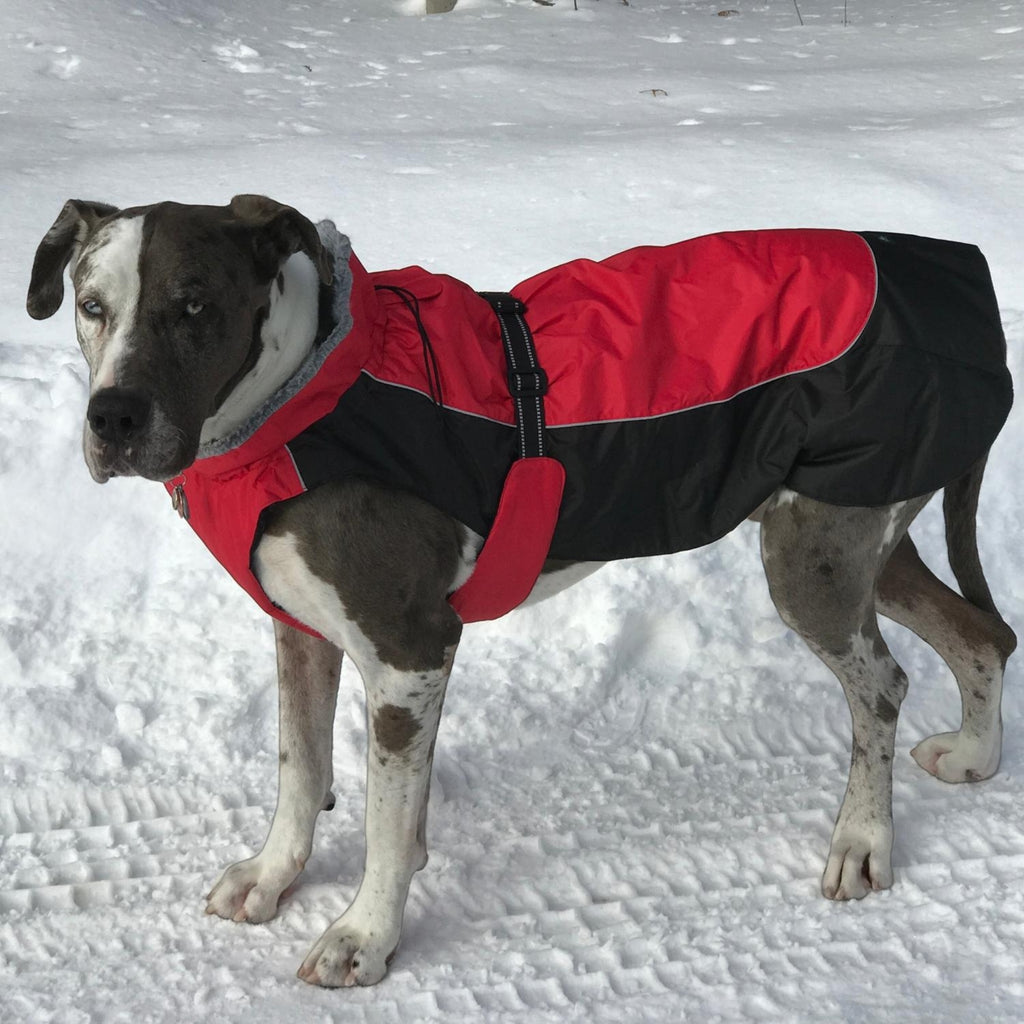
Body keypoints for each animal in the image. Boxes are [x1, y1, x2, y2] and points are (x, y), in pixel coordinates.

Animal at [25, 195, 1015, 987]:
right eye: (90, 305)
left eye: (194, 304)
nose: (111, 418)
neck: (300, 398)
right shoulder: (303, 631)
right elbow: (300, 768)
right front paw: (275, 877)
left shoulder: (407, 649)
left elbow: (383, 819)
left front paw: (365, 935)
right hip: (856, 538)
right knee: (981, 635)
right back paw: (976, 753)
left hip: (811, 560)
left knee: (882, 685)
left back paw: (863, 841)